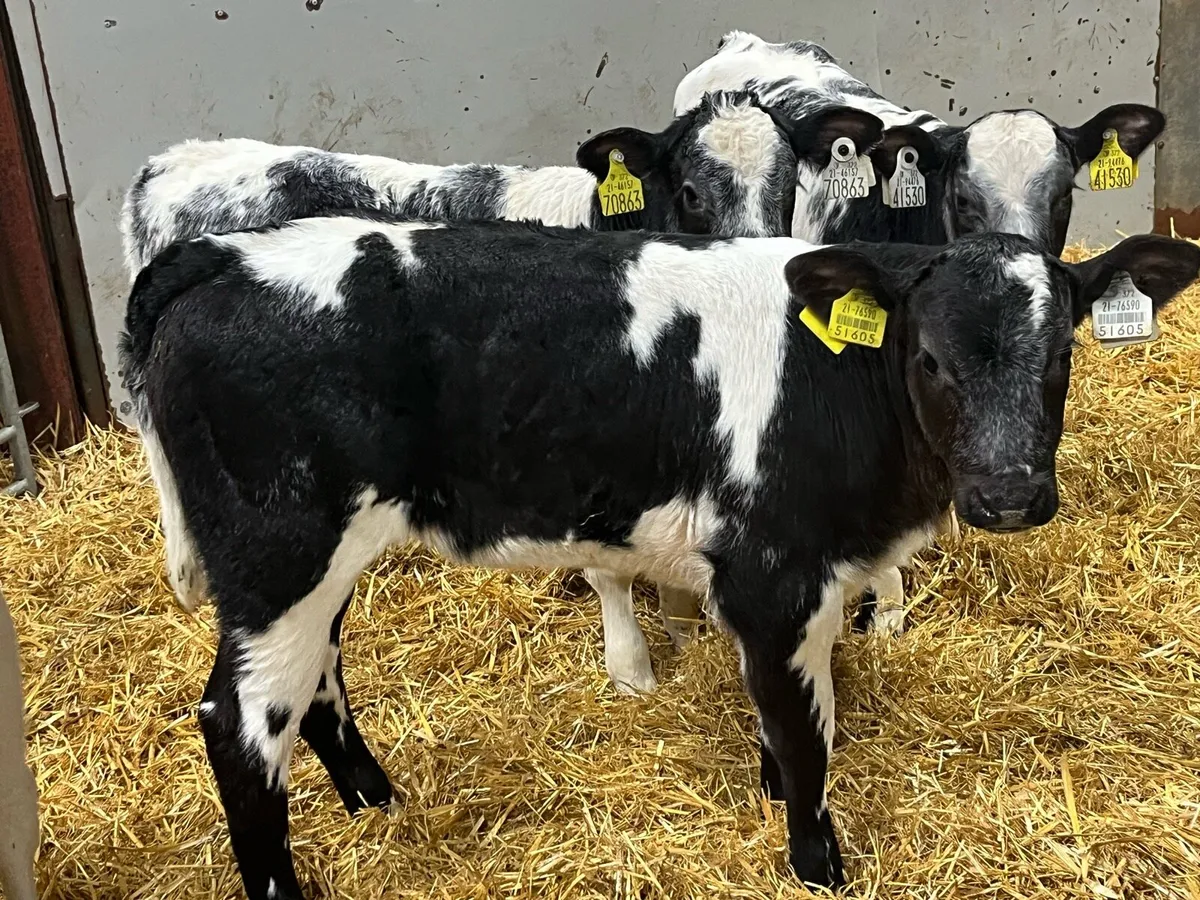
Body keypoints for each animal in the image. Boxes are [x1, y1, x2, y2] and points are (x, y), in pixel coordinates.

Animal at [119, 211, 1200, 898]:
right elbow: (805, 731)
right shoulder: (772, 573)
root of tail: (222, 254)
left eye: (1062, 355)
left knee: (316, 685)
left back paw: (378, 803)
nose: (1010, 494)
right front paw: (818, 863)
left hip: (319, 559)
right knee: (239, 723)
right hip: (280, 549)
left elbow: (789, 717)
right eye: (928, 357)